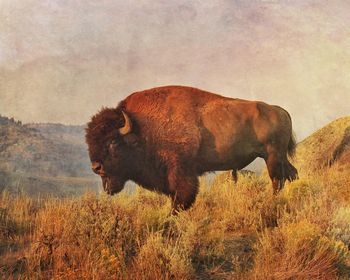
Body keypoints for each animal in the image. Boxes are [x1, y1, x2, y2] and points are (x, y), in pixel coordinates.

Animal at [86, 86, 296, 211]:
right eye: (90, 142)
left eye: (112, 142)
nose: (96, 167)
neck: (142, 127)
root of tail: (280, 110)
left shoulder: (181, 170)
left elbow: (181, 197)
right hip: (279, 157)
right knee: (291, 173)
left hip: (272, 156)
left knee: (277, 180)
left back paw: (273, 202)